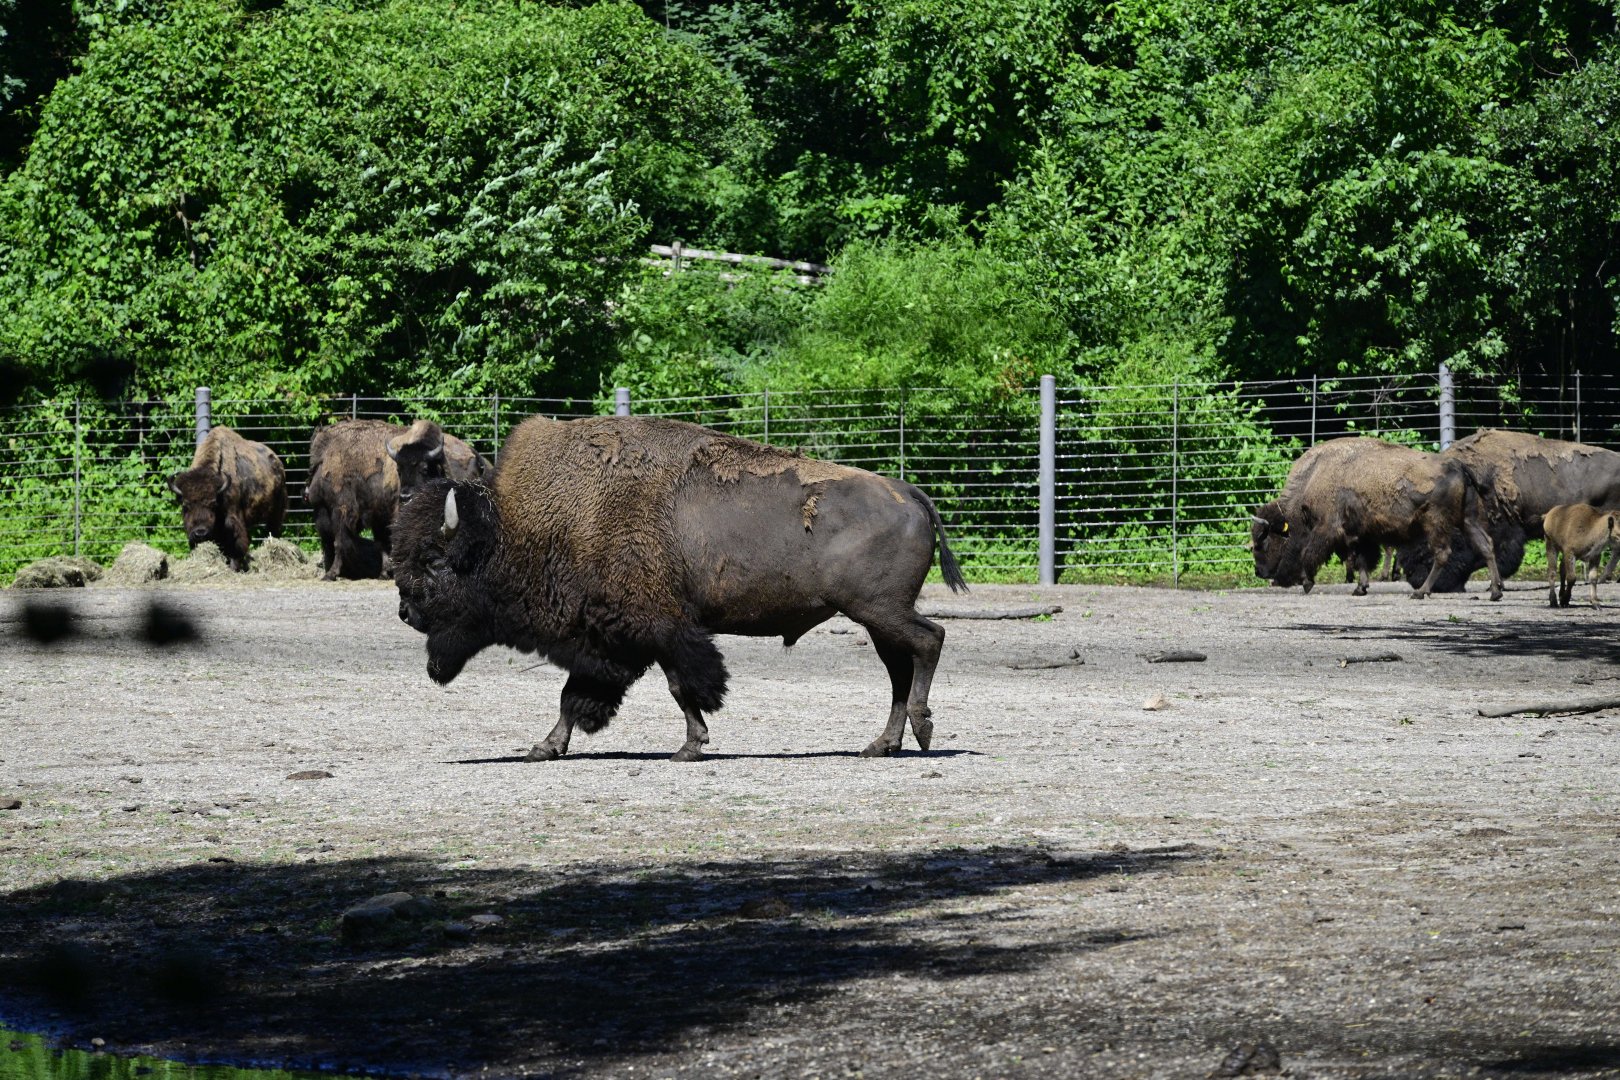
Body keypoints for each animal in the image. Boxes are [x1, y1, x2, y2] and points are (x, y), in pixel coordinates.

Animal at [168, 425, 287, 571]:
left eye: (213, 504)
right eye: (185, 505)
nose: (200, 533)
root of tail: (278, 463)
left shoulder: (234, 520)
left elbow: (236, 545)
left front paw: (234, 567)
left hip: (276, 512)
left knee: (272, 530)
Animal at [392, 414, 967, 761]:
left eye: (436, 562)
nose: (405, 612)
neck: (522, 524)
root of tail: (909, 491)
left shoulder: (656, 626)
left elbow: (681, 685)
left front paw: (689, 747)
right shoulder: (617, 635)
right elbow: (576, 694)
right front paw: (547, 747)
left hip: (880, 609)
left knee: (929, 642)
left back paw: (921, 732)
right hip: (875, 617)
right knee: (900, 667)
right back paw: (882, 744)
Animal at [1251, 436, 1503, 600]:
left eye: (1263, 541)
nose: (1259, 572)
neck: (1314, 477)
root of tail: (1458, 465)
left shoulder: (1328, 529)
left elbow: (1310, 553)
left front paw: (1306, 582)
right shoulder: (1360, 534)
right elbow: (1362, 559)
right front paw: (1360, 588)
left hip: (1436, 524)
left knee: (1442, 554)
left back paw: (1421, 592)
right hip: (1468, 519)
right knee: (1486, 545)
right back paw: (1495, 590)